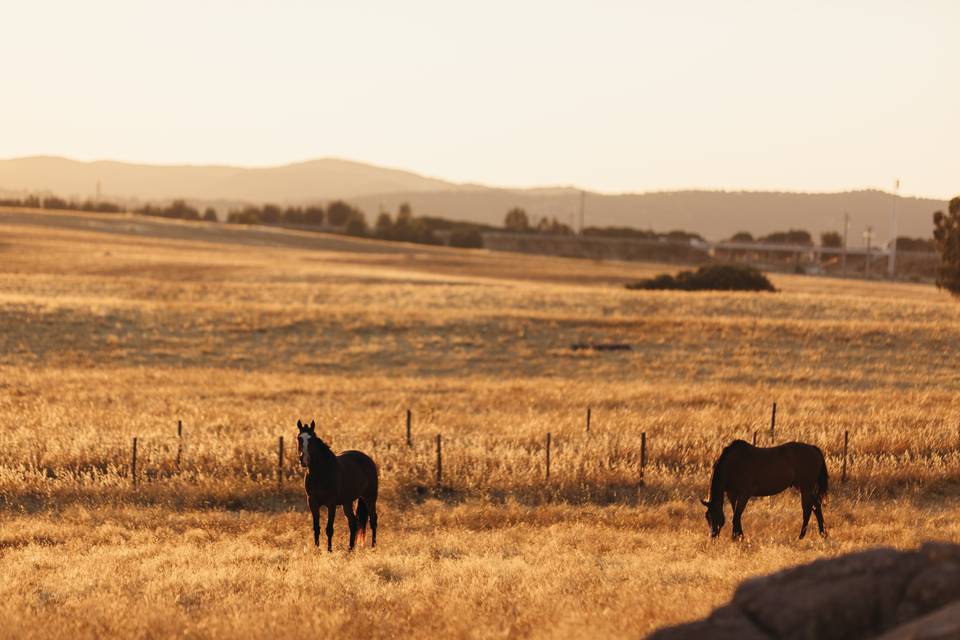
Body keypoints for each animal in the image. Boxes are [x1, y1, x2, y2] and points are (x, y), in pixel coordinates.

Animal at [296, 420, 378, 552]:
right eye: (299, 438)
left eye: (311, 439)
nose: (304, 460)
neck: (321, 473)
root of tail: (368, 459)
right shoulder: (312, 502)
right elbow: (316, 528)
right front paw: (317, 550)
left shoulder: (331, 503)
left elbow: (329, 529)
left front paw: (329, 550)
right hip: (347, 502)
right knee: (353, 522)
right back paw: (350, 549)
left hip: (369, 498)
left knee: (373, 520)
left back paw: (373, 546)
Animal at [700, 440, 828, 540]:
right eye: (707, 517)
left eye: (715, 514)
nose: (713, 536)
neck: (734, 465)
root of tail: (813, 448)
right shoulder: (732, 495)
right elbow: (736, 515)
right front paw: (739, 536)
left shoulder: (744, 495)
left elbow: (736, 516)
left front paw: (736, 537)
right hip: (802, 487)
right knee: (816, 507)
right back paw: (822, 534)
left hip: (806, 487)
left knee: (808, 509)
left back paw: (801, 536)